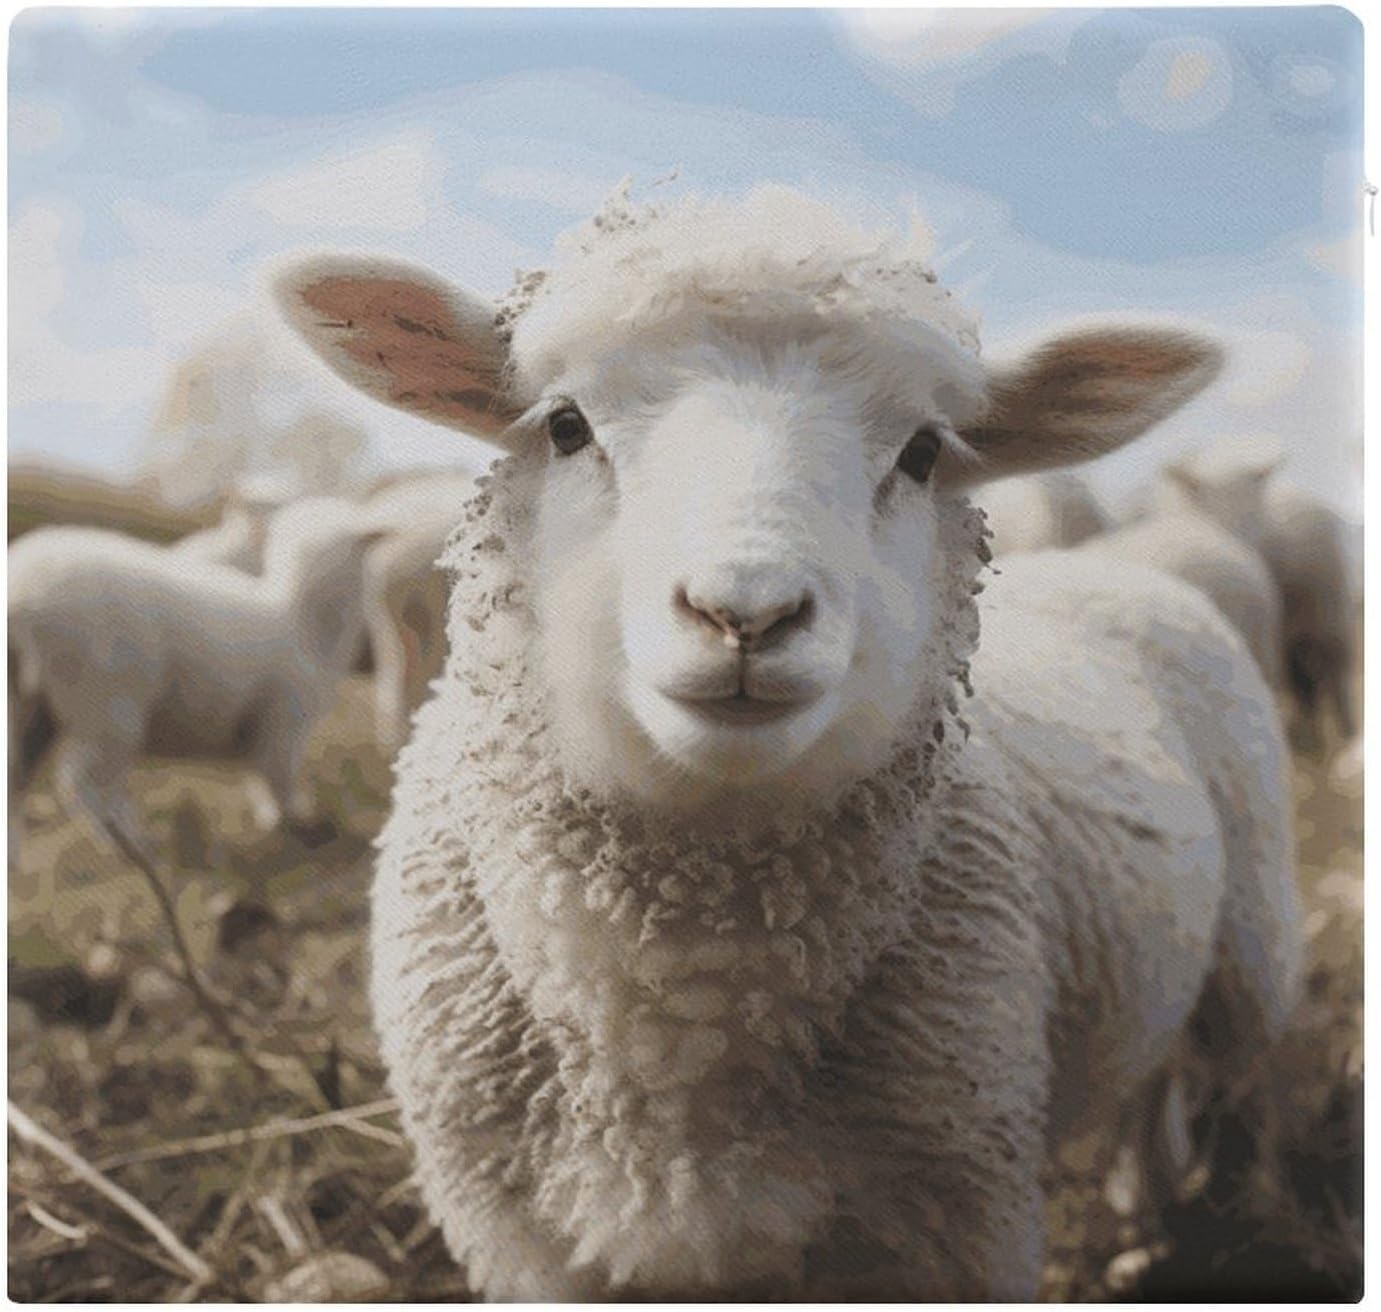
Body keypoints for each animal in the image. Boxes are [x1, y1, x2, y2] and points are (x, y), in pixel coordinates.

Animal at [8, 497, 380, 858]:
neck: (301, 618)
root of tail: (20, 592)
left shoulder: (263, 726)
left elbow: (259, 775)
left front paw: (272, 820)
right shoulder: (285, 719)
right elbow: (278, 777)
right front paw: (297, 825)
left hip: (29, 705)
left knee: (18, 778)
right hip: (105, 700)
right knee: (82, 784)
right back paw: (132, 846)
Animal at [275, 185, 1302, 1300]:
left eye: (923, 451)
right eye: (565, 425)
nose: (747, 613)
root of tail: (1115, 567)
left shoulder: (960, 1209)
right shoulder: (514, 1235)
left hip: (1254, 950)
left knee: (1237, 1083)